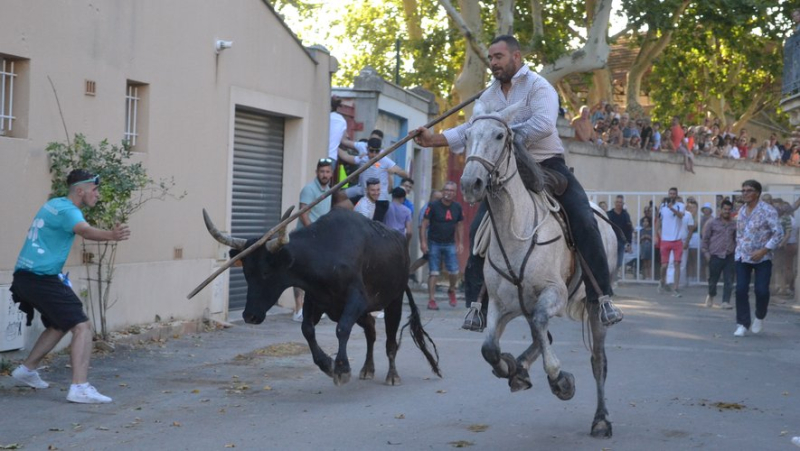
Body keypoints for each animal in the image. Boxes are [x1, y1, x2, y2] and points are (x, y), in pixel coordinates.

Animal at [203, 207, 440, 386]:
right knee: (371, 330)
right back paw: (367, 369)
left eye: (266, 272)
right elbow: (307, 329)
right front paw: (327, 364)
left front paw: (342, 368)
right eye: (246, 272)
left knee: (390, 340)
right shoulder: (316, 301)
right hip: (363, 312)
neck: (325, 252)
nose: (250, 316)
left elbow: (342, 329)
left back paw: (392, 375)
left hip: (394, 300)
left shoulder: (356, 299)